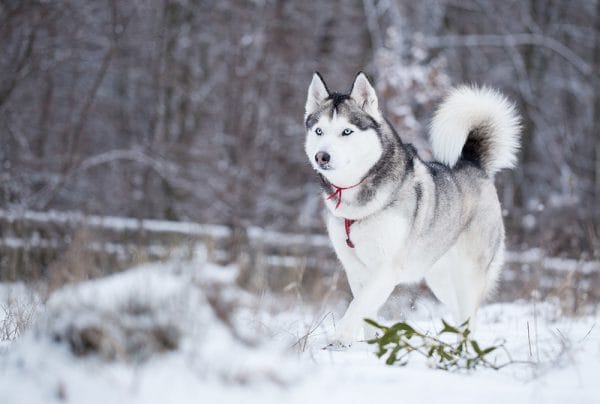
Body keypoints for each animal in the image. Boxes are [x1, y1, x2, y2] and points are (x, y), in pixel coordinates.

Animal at [304, 71, 520, 346]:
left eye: (346, 131)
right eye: (319, 130)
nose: (322, 156)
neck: (357, 200)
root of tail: (473, 164)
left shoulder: (387, 268)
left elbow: (358, 305)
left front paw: (341, 337)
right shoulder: (355, 269)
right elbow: (366, 310)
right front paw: (370, 344)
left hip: (469, 275)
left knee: (470, 316)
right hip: (440, 278)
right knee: (459, 312)